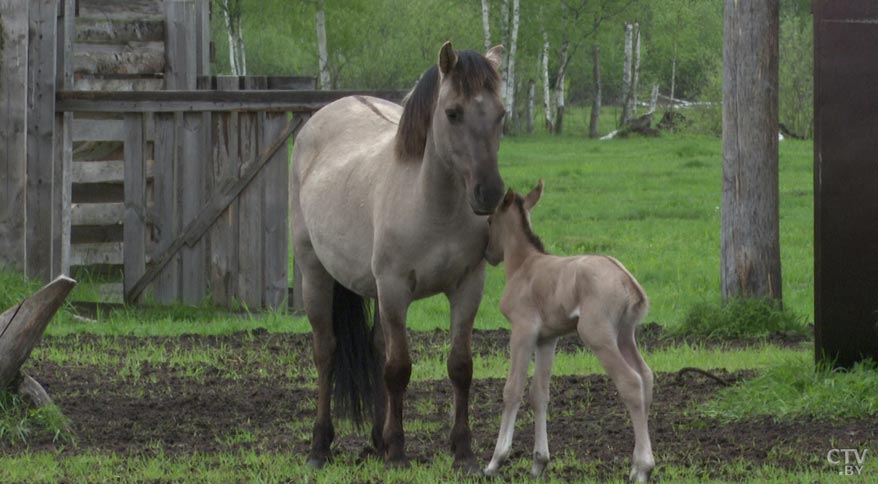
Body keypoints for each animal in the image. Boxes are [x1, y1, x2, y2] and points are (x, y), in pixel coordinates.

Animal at [290, 42, 506, 472]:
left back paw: (376, 438)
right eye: (452, 112)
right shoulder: (394, 290)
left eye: (501, 114)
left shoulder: (468, 286)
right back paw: (320, 447)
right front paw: (399, 453)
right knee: (326, 352)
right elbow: (399, 369)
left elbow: (460, 366)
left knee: (375, 349)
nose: (489, 193)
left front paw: (463, 453)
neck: (432, 205)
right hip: (315, 274)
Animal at [484, 181, 656, 480]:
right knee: (646, 376)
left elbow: (513, 389)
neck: (523, 266)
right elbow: (539, 393)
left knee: (631, 381)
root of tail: (627, 281)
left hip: (597, 335)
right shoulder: (547, 339)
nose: (488, 254)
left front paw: (496, 461)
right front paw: (539, 463)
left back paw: (641, 468)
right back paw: (641, 464)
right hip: (625, 336)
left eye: (490, 220)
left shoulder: (522, 331)